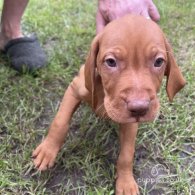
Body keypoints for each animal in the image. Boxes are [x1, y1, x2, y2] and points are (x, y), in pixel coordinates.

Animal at [32, 14, 185, 194]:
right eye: (111, 62)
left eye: (159, 61)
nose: (140, 108)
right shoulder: (74, 90)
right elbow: (59, 122)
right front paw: (47, 150)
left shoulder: (130, 123)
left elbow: (126, 154)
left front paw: (125, 182)